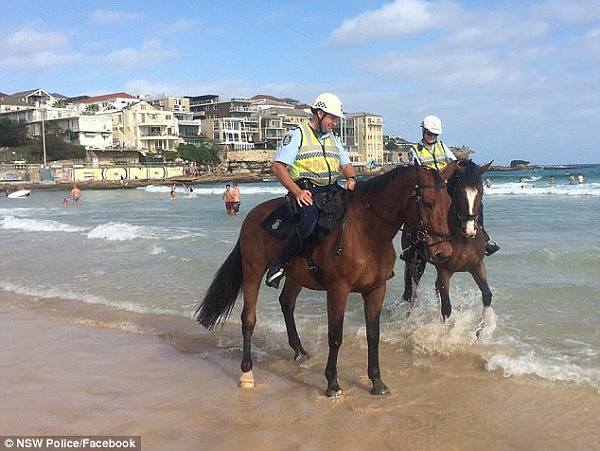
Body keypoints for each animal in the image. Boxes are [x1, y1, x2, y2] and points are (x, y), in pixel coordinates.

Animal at [195, 162, 458, 396]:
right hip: (253, 271)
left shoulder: (376, 289)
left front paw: (376, 382)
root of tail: (252, 215)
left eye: (449, 203)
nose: (443, 252)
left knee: (286, 303)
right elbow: (335, 336)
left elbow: (373, 335)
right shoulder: (338, 289)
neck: (367, 232)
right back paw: (247, 373)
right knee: (248, 319)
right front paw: (332, 383)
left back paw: (299, 351)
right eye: (428, 203)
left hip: (295, 277)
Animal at [400, 161, 494, 334]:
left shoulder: (477, 266)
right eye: (458, 192)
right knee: (414, 290)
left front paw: (478, 334)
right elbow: (447, 307)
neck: (463, 239)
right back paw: (409, 317)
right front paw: (447, 336)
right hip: (416, 261)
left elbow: (487, 296)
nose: (469, 230)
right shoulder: (445, 271)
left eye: (481, 191)